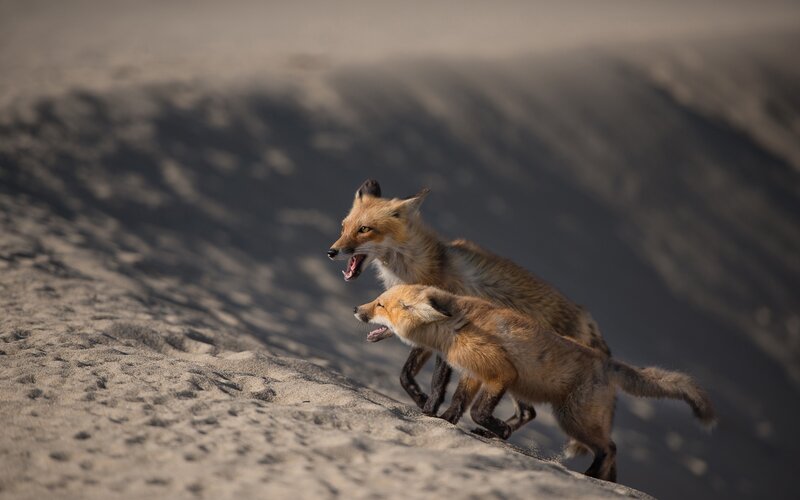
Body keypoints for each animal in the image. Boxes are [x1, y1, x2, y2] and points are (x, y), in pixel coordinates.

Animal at [328, 179, 610, 436]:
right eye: (344, 227)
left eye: (365, 229)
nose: (332, 251)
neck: (421, 268)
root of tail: (586, 317)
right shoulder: (426, 334)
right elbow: (405, 375)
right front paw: (423, 402)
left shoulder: (445, 332)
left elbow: (436, 382)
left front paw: (430, 410)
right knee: (528, 413)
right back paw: (494, 433)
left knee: (528, 412)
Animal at [355, 284, 716, 482]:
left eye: (381, 304)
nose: (357, 309)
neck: (456, 328)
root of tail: (605, 360)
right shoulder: (472, 373)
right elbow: (457, 404)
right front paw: (442, 420)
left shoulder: (501, 373)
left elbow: (478, 410)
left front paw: (496, 429)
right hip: (553, 406)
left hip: (571, 418)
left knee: (610, 447)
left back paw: (589, 475)